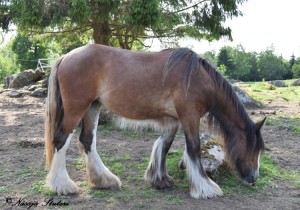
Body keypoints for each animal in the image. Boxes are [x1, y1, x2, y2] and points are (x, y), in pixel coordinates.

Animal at [44, 44, 264, 199]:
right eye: (253, 148)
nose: (253, 178)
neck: (197, 78)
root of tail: (66, 57)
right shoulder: (189, 117)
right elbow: (193, 149)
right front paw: (205, 188)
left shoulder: (172, 121)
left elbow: (163, 146)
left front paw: (160, 180)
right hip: (76, 109)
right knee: (61, 140)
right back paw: (63, 186)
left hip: (92, 107)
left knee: (87, 141)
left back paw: (104, 180)